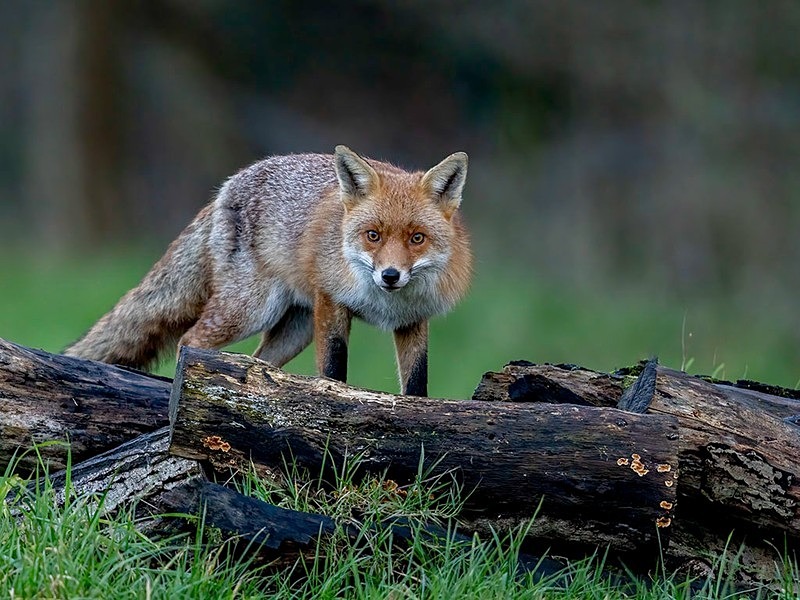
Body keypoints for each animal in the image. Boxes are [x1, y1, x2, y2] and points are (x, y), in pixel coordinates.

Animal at [64, 146, 472, 396]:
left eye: (417, 238)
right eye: (373, 236)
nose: (390, 275)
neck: (385, 302)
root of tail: (227, 187)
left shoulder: (413, 321)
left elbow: (416, 385)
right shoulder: (332, 303)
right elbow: (333, 373)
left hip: (295, 328)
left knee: (262, 368)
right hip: (249, 311)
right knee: (190, 342)